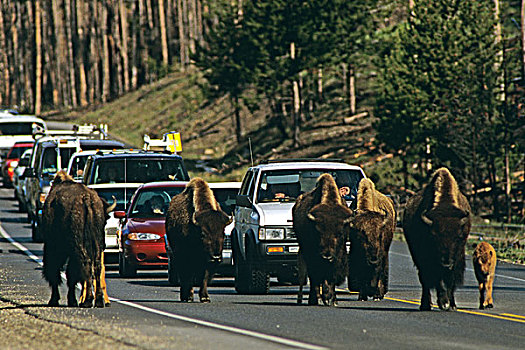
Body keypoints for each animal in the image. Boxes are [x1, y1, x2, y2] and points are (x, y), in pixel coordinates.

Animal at [42, 171, 115, 308]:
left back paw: (87, 301)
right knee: (96, 266)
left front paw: (54, 300)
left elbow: (56, 271)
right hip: (97, 244)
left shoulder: (53, 246)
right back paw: (98, 301)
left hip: (77, 245)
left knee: (85, 264)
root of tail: (86, 198)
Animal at [290, 174, 352, 304]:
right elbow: (315, 277)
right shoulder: (312, 257)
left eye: (340, 233)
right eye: (318, 232)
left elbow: (330, 277)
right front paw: (319, 299)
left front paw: (332, 300)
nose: (327, 256)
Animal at [402, 167, 470, 312]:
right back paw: (425, 305)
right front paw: (444, 303)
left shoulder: (456, 257)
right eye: (434, 237)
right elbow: (436, 280)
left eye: (458, 237)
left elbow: (450, 280)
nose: (446, 263)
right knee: (425, 280)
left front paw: (451, 305)